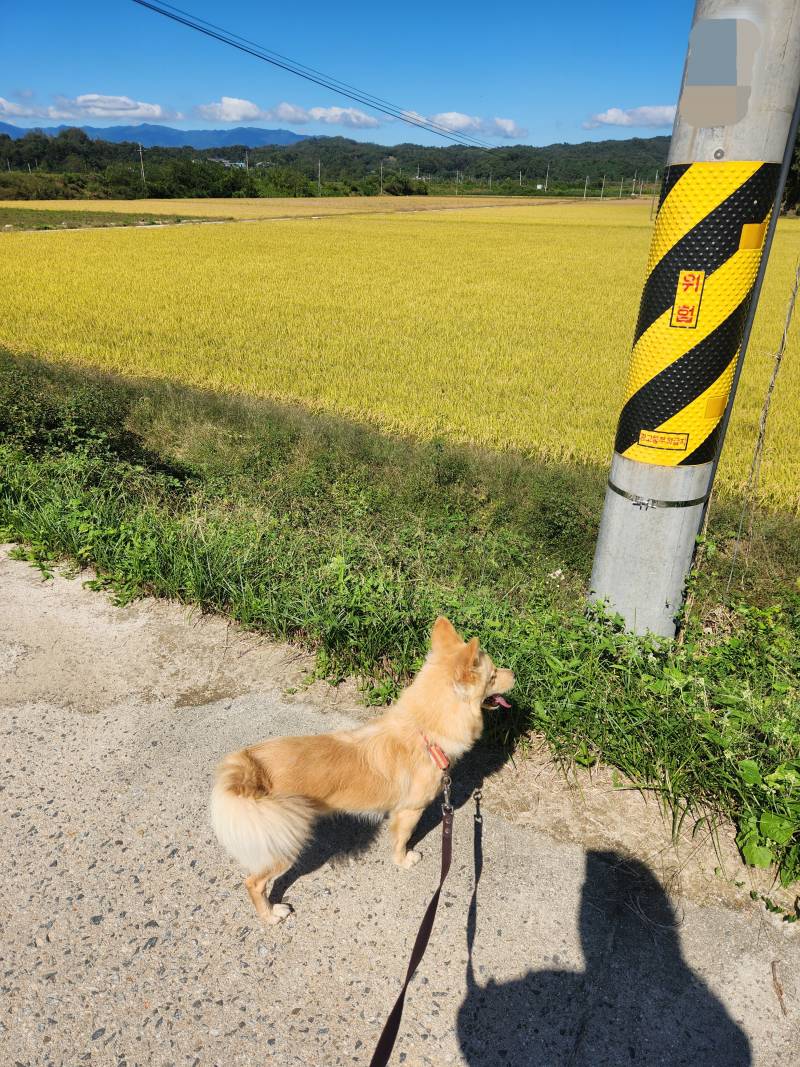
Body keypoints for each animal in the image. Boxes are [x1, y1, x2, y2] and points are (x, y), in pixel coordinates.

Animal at [210, 618, 516, 926]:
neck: (423, 731)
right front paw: (403, 860)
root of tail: (251, 769)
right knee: (253, 883)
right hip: (282, 839)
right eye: (492, 676)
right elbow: (402, 839)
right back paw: (272, 914)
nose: (514, 673)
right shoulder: (410, 811)